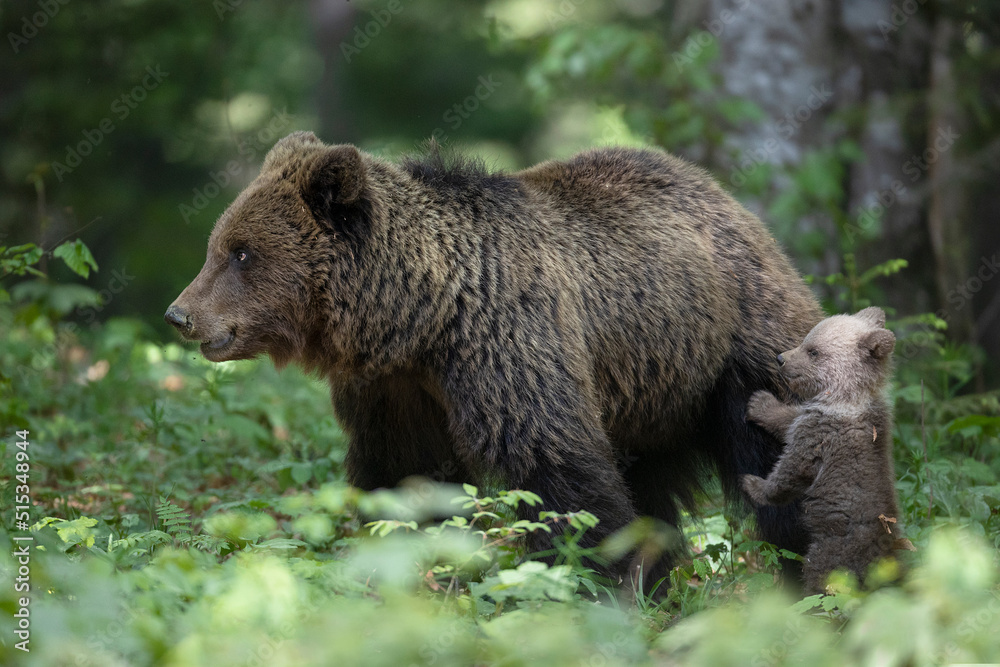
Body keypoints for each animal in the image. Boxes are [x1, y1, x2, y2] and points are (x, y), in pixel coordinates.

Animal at [165, 131, 823, 588]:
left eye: (241, 253)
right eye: (218, 245)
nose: (180, 313)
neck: (421, 321)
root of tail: (728, 201)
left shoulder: (507, 348)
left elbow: (555, 468)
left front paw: (591, 580)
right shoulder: (395, 392)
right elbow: (405, 476)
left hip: (736, 351)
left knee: (781, 466)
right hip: (651, 392)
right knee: (652, 490)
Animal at [741, 306, 907, 593]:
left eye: (813, 351)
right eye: (806, 340)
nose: (781, 358)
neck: (848, 398)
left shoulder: (821, 436)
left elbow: (790, 471)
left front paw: (753, 484)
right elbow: (790, 419)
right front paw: (761, 402)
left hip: (832, 550)